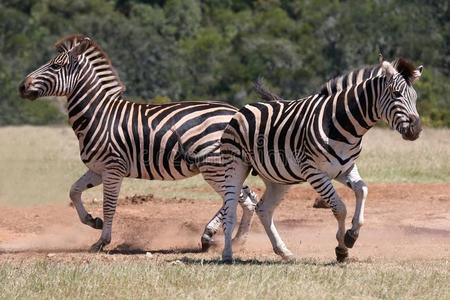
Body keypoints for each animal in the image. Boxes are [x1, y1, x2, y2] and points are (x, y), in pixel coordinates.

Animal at [18, 34, 256, 252]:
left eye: (56, 65)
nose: (21, 86)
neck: (99, 115)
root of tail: (237, 112)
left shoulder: (113, 168)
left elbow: (109, 206)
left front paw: (102, 241)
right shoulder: (98, 169)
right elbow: (74, 191)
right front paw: (93, 221)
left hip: (213, 167)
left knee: (236, 198)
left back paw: (214, 235)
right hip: (225, 167)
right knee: (247, 198)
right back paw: (236, 240)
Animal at [216, 57, 424, 264]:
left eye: (415, 98)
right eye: (396, 94)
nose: (416, 130)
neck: (343, 126)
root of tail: (245, 107)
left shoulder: (345, 168)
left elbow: (362, 190)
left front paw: (352, 234)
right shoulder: (314, 172)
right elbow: (339, 208)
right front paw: (342, 248)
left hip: (278, 178)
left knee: (263, 209)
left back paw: (284, 252)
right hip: (235, 165)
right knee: (230, 210)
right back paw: (227, 254)